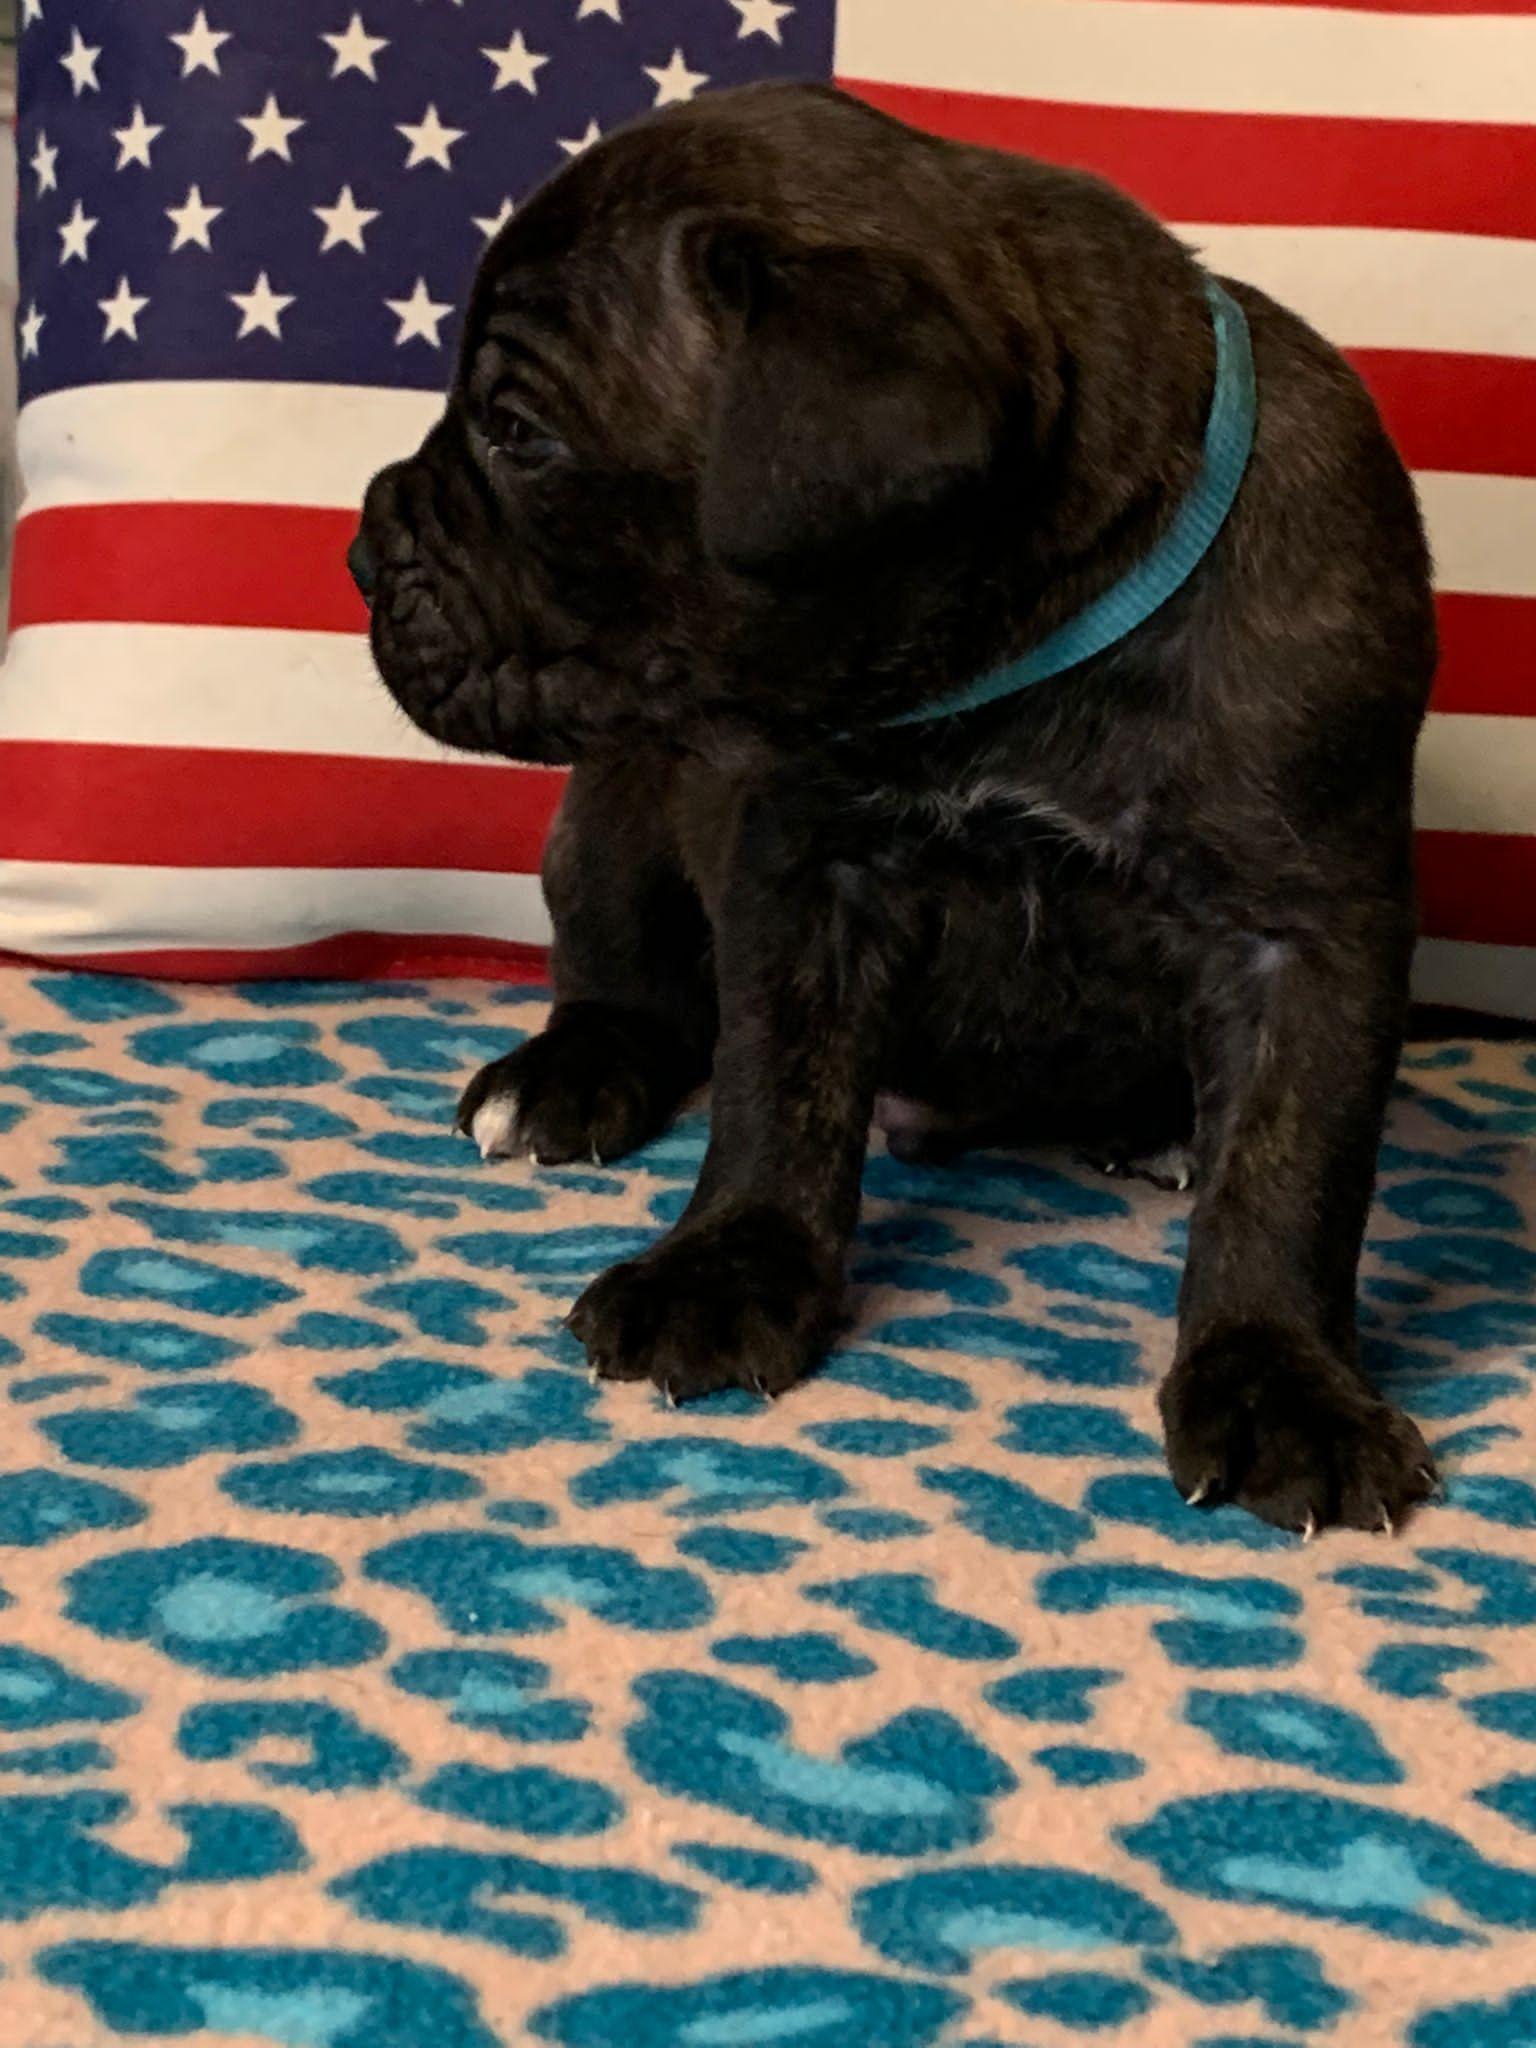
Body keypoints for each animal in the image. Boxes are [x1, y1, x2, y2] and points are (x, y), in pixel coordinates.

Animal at [351, 81, 1439, 1536]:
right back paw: (565, 1075)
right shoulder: (800, 866)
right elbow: (775, 1089)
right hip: (614, 815)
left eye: (518, 434)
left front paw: (1279, 1377)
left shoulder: (1304, 929)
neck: (1026, 641)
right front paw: (728, 1267)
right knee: (625, 974)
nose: (362, 547)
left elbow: (1290, 1167)